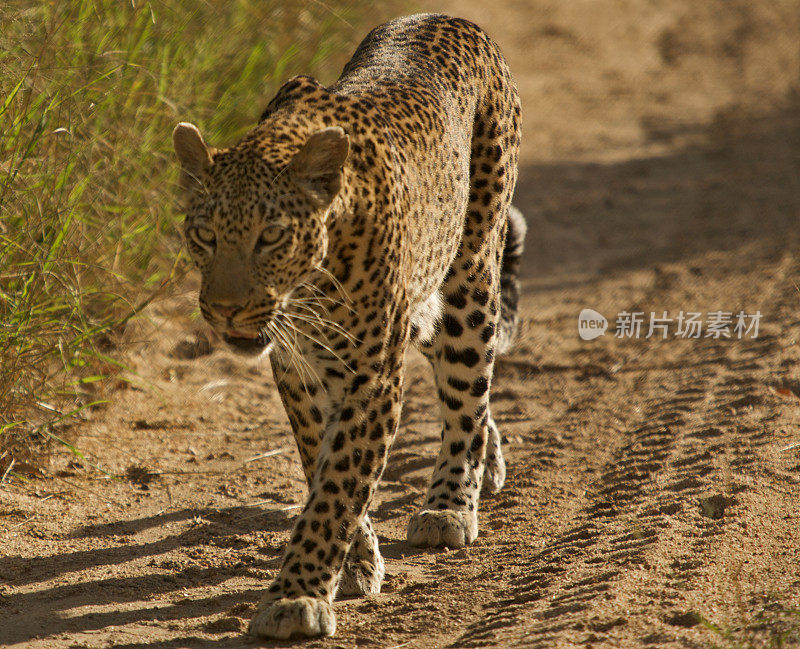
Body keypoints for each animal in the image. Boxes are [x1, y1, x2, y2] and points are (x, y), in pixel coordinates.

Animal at [172, 11, 524, 636]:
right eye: (205, 235)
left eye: (272, 237)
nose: (226, 309)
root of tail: (453, 18)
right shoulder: (298, 371)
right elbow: (322, 465)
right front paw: (355, 565)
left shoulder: (372, 376)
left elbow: (338, 486)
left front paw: (297, 597)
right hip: (424, 302)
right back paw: (489, 463)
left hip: (469, 275)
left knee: (468, 388)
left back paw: (450, 505)